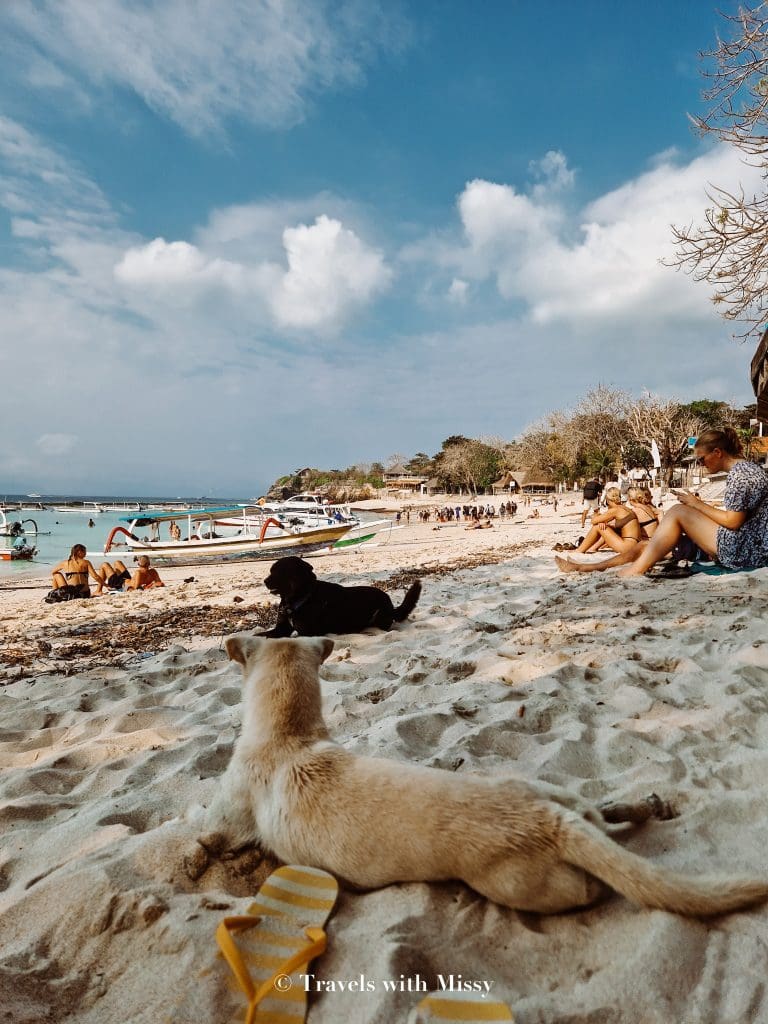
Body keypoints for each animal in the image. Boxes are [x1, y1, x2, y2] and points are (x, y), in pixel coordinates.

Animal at [198, 634, 768, 917]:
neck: (289, 735)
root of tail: (548, 821)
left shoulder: (222, 823)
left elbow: (203, 837)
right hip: (554, 795)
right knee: (605, 816)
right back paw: (646, 805)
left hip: (519, 886)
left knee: (593, 889)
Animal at [264, 557, 421, 634]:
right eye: (271, 571)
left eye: (280, 571)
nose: (264, 581)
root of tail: (391, 605)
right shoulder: (281, 629)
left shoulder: (306, 633)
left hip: (378, 617)